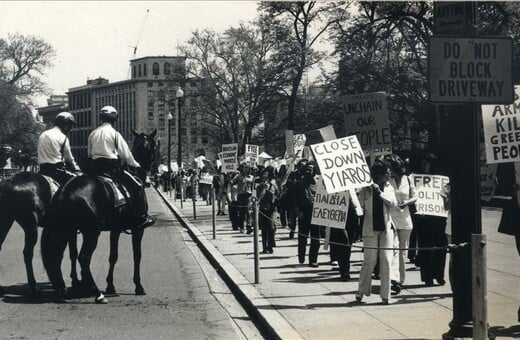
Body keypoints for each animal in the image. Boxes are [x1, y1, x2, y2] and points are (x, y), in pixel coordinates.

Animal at [41, 129, 155, 302]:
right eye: (153, 148)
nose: (149, 176)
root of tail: (66, 190)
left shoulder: (116, 229)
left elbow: (113, 256)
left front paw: (110, 285)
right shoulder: (138, 228)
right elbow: (137, 255)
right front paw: (138, 286)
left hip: (67, 229)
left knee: (58, 255)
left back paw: (64, 289)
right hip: (91, 231)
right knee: (83, 257)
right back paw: (96, 292)